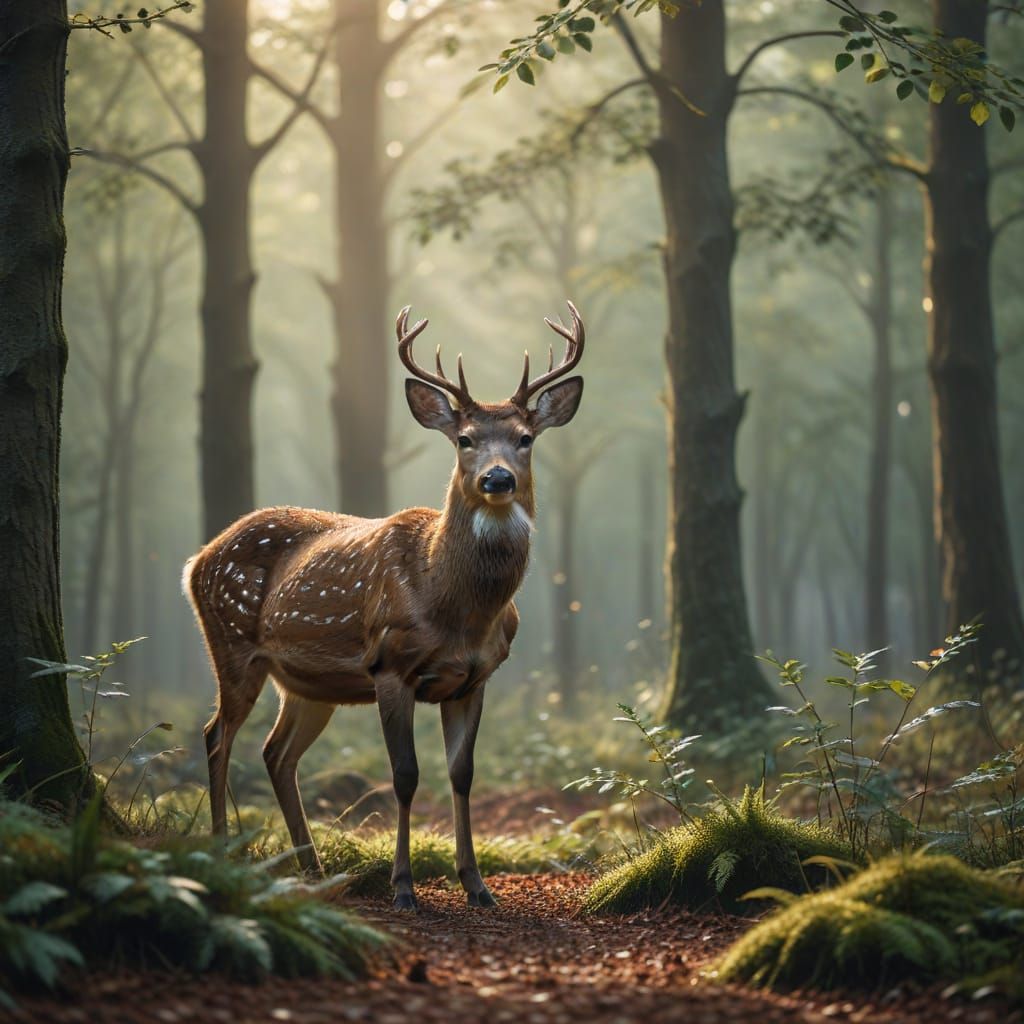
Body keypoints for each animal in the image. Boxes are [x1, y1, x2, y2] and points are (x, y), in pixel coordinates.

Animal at [182, 302, 585, 909]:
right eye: (465, 439)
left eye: (525, 438)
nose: (497, 478)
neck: (456, 610)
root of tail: (195, 561)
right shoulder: (390, 665)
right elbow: (405, 774)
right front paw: (403, 887)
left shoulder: (475, 678)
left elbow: (462, 773)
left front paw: (476, 885)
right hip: (230, 644)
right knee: (216, 737)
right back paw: (224, 854)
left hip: (307, 684)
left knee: (277, 754)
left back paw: (313, 867)